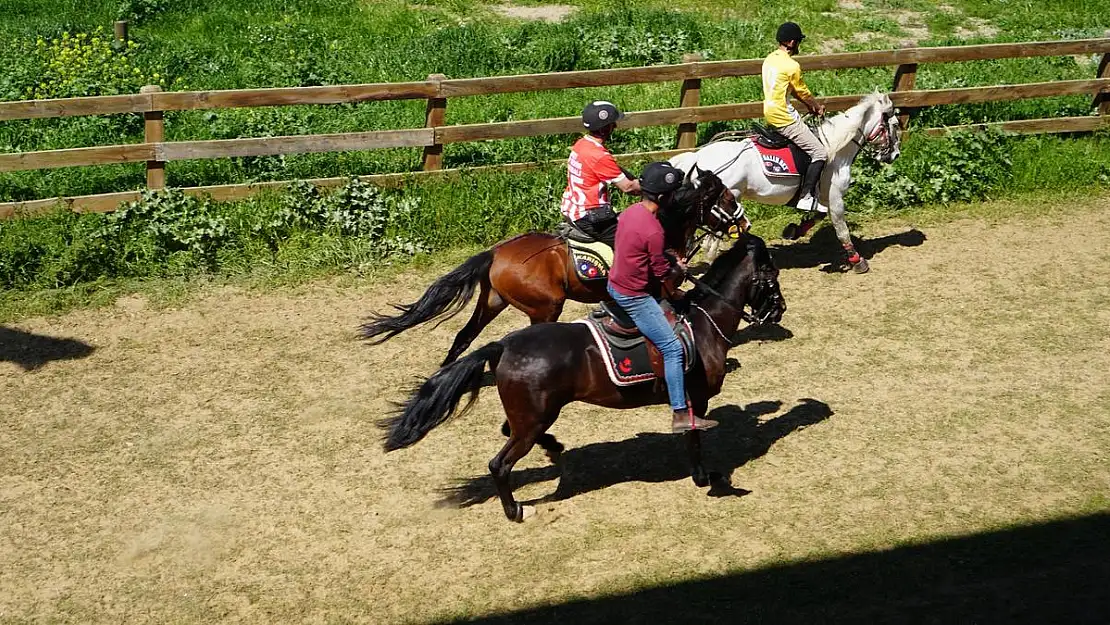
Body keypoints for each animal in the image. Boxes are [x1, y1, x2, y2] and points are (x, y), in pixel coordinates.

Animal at [364, 170, 745, 366]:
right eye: (728, 199)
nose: (744, 223)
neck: (662, 224)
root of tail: (496, 253)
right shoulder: (662, 289)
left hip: (493, 302)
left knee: (464, 336)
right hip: (545, 308)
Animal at [377, 235, 785, 523]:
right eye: (772, 277)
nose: (779, 310)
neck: (702, 324)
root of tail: (503, 345)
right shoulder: (694, 399)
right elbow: (694, 439)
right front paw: (705, 478)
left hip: (530, 413)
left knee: (507, 430)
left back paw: (554, 447)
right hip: (532, 414)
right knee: (499, 464)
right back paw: (516, 510)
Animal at [666, 91, 901, 273]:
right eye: (896, 125)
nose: (895, 155)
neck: (836, 148)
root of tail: (697, 157)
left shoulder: (824, 197)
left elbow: (817, 215)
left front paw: (795, 230)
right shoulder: (835, 197)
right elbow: (841, 229)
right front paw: (857, 261)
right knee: (708, 238)